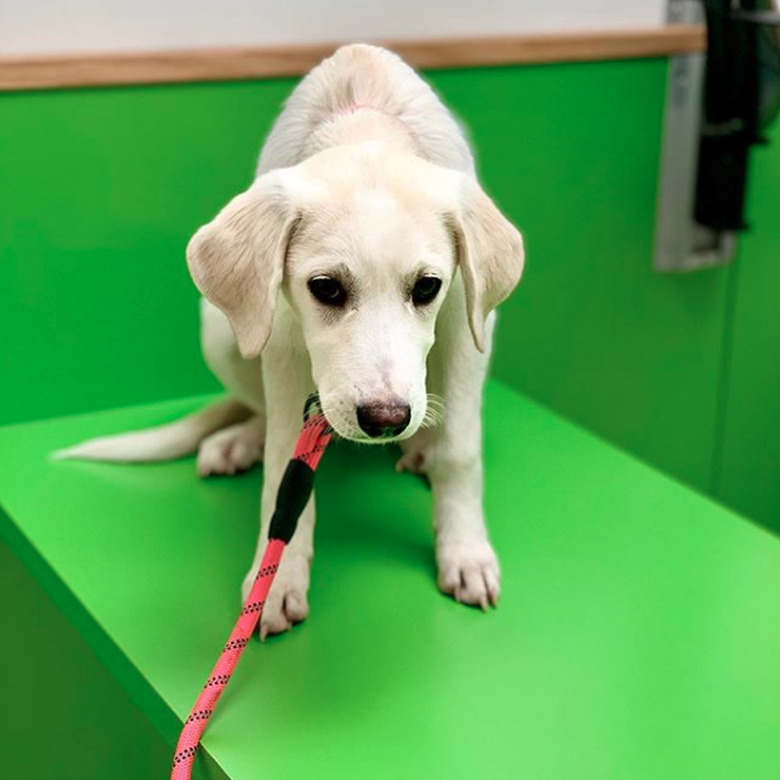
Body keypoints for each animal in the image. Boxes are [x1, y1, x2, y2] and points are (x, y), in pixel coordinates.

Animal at [58, 44, 524, 640]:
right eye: (324, 288)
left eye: (427, 287)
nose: (385, 419)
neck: (364, 119)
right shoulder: (278, 338)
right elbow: (285, 469)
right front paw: (275, 578)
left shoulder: (470, 326)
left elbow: (461, 451)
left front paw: (464, 552)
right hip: (222, 330)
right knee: (259, 412)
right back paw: (241, 441)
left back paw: (420, 445)